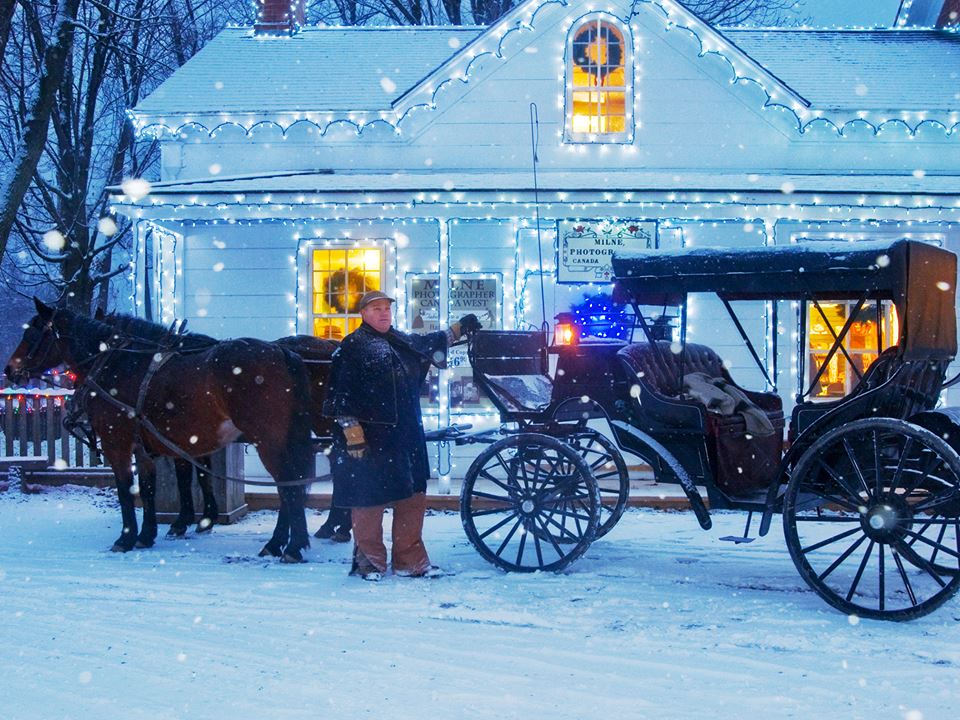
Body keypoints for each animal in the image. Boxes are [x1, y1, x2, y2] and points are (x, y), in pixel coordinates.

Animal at [6, 298, 316, 564]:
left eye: (31, 334)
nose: (9, 370)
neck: (115, 363)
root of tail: (282, 352)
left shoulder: (116, 443)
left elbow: (126, 489)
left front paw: (126, 538)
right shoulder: (145, 447)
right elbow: (149, 488)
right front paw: (147, 534)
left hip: (269, 441)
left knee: (287, 486)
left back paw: (289, 546)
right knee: (290, 486)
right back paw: (279, 544)